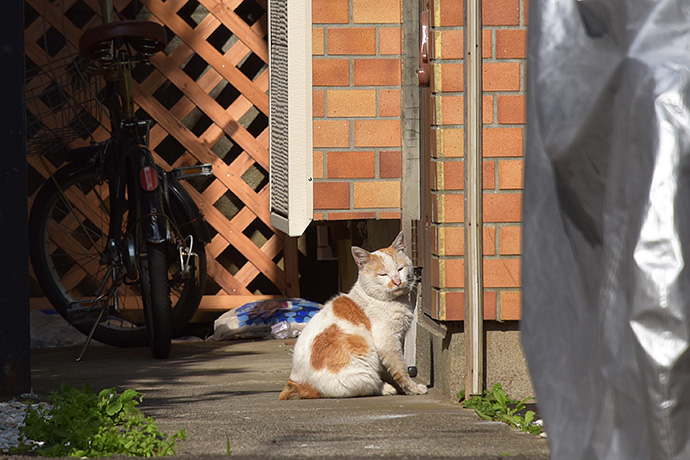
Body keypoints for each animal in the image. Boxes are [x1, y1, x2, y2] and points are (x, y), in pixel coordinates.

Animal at [278, 234, 428, 398]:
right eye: (383, 274)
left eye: (400, 269)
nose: (397, 281)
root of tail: (298, 382)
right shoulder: (387, 342)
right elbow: (400, 369)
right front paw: (412, 388)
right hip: (363, 367)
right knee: (370, 384)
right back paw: (386, 388)